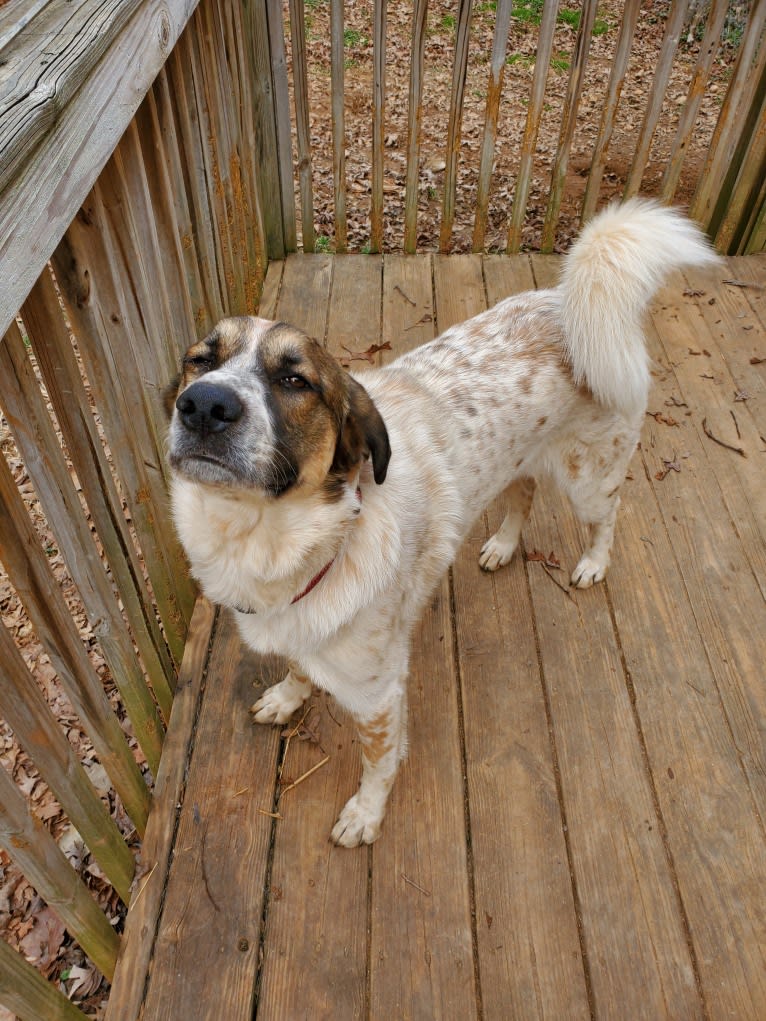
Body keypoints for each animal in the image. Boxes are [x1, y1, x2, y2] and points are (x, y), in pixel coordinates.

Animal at [167, 199, 719, 845]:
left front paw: (365, 815)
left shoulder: (378, 694)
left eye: (294, 380)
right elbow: (300, 668)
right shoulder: (304, 631)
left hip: (590, 478)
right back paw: (502, 546)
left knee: (609, 515)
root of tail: (571, 302)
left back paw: (591, 564)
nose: (203, 405)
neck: (271, 542)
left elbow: (379, 761)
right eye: (199, 360)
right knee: (524, 496)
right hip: (519, 463)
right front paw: (285, 696)